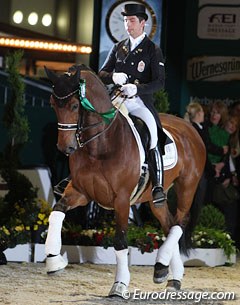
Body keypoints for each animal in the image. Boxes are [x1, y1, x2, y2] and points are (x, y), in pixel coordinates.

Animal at [44, 65, 205, 296]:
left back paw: (162, 265)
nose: (65, 148)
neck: (101, 145)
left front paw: (119, 285)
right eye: (53, 104)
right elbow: (56, 213)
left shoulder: (121, 200)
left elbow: (120, 242)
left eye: (75, 105)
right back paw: (169, 275)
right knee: (168, 223)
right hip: (155, 197)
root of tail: (190, 127)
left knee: (180, 222)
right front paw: (54, 261)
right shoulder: (81, 192)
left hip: (187, 186)